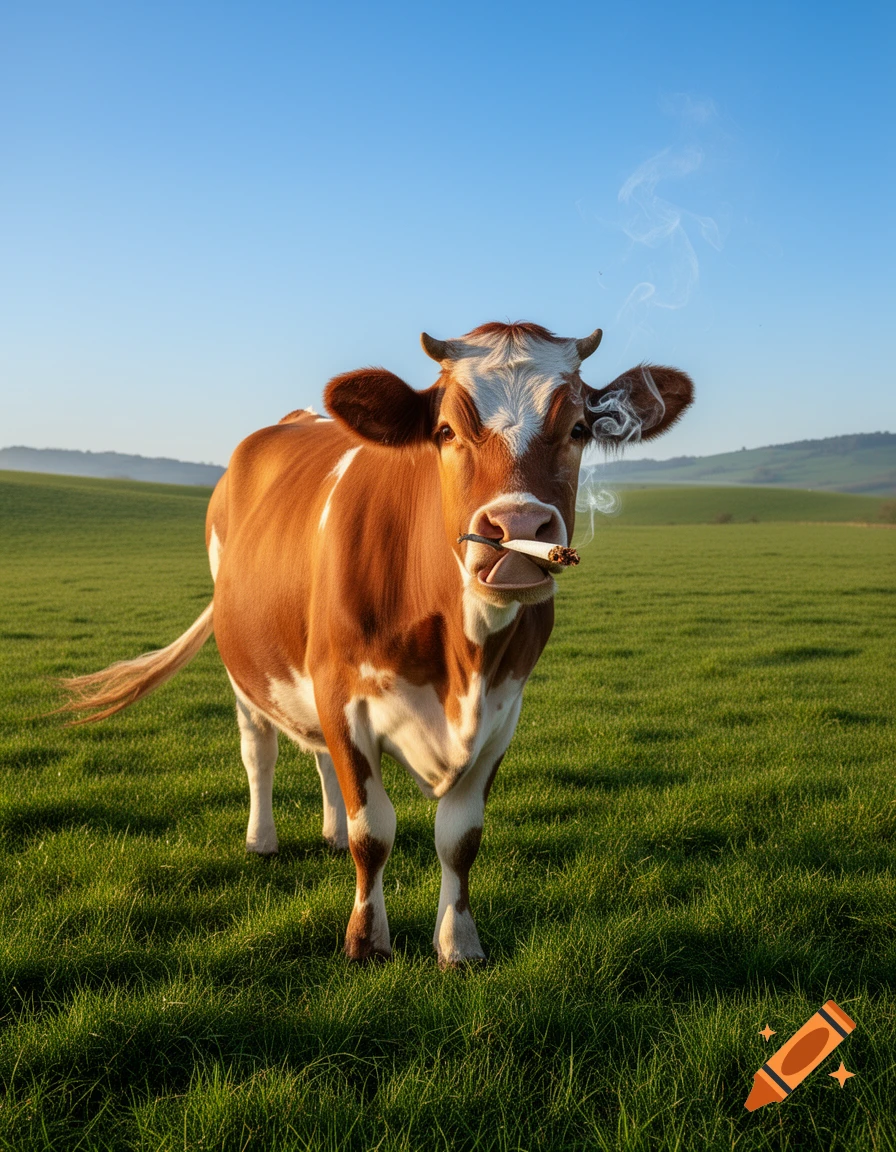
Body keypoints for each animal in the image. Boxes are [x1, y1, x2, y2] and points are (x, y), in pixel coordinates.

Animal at [63, 321, 693, 966]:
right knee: (259, 750)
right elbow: (375, 831)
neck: (461, 663)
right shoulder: (342, 692)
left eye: (578, 430)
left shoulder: (502, 711)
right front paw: (366, 941)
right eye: (445, 431)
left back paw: (330, 834)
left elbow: (460, 838)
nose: (516, 530)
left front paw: (458, 945)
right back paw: (262, 839)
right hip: (249, 669)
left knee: (318, 756)